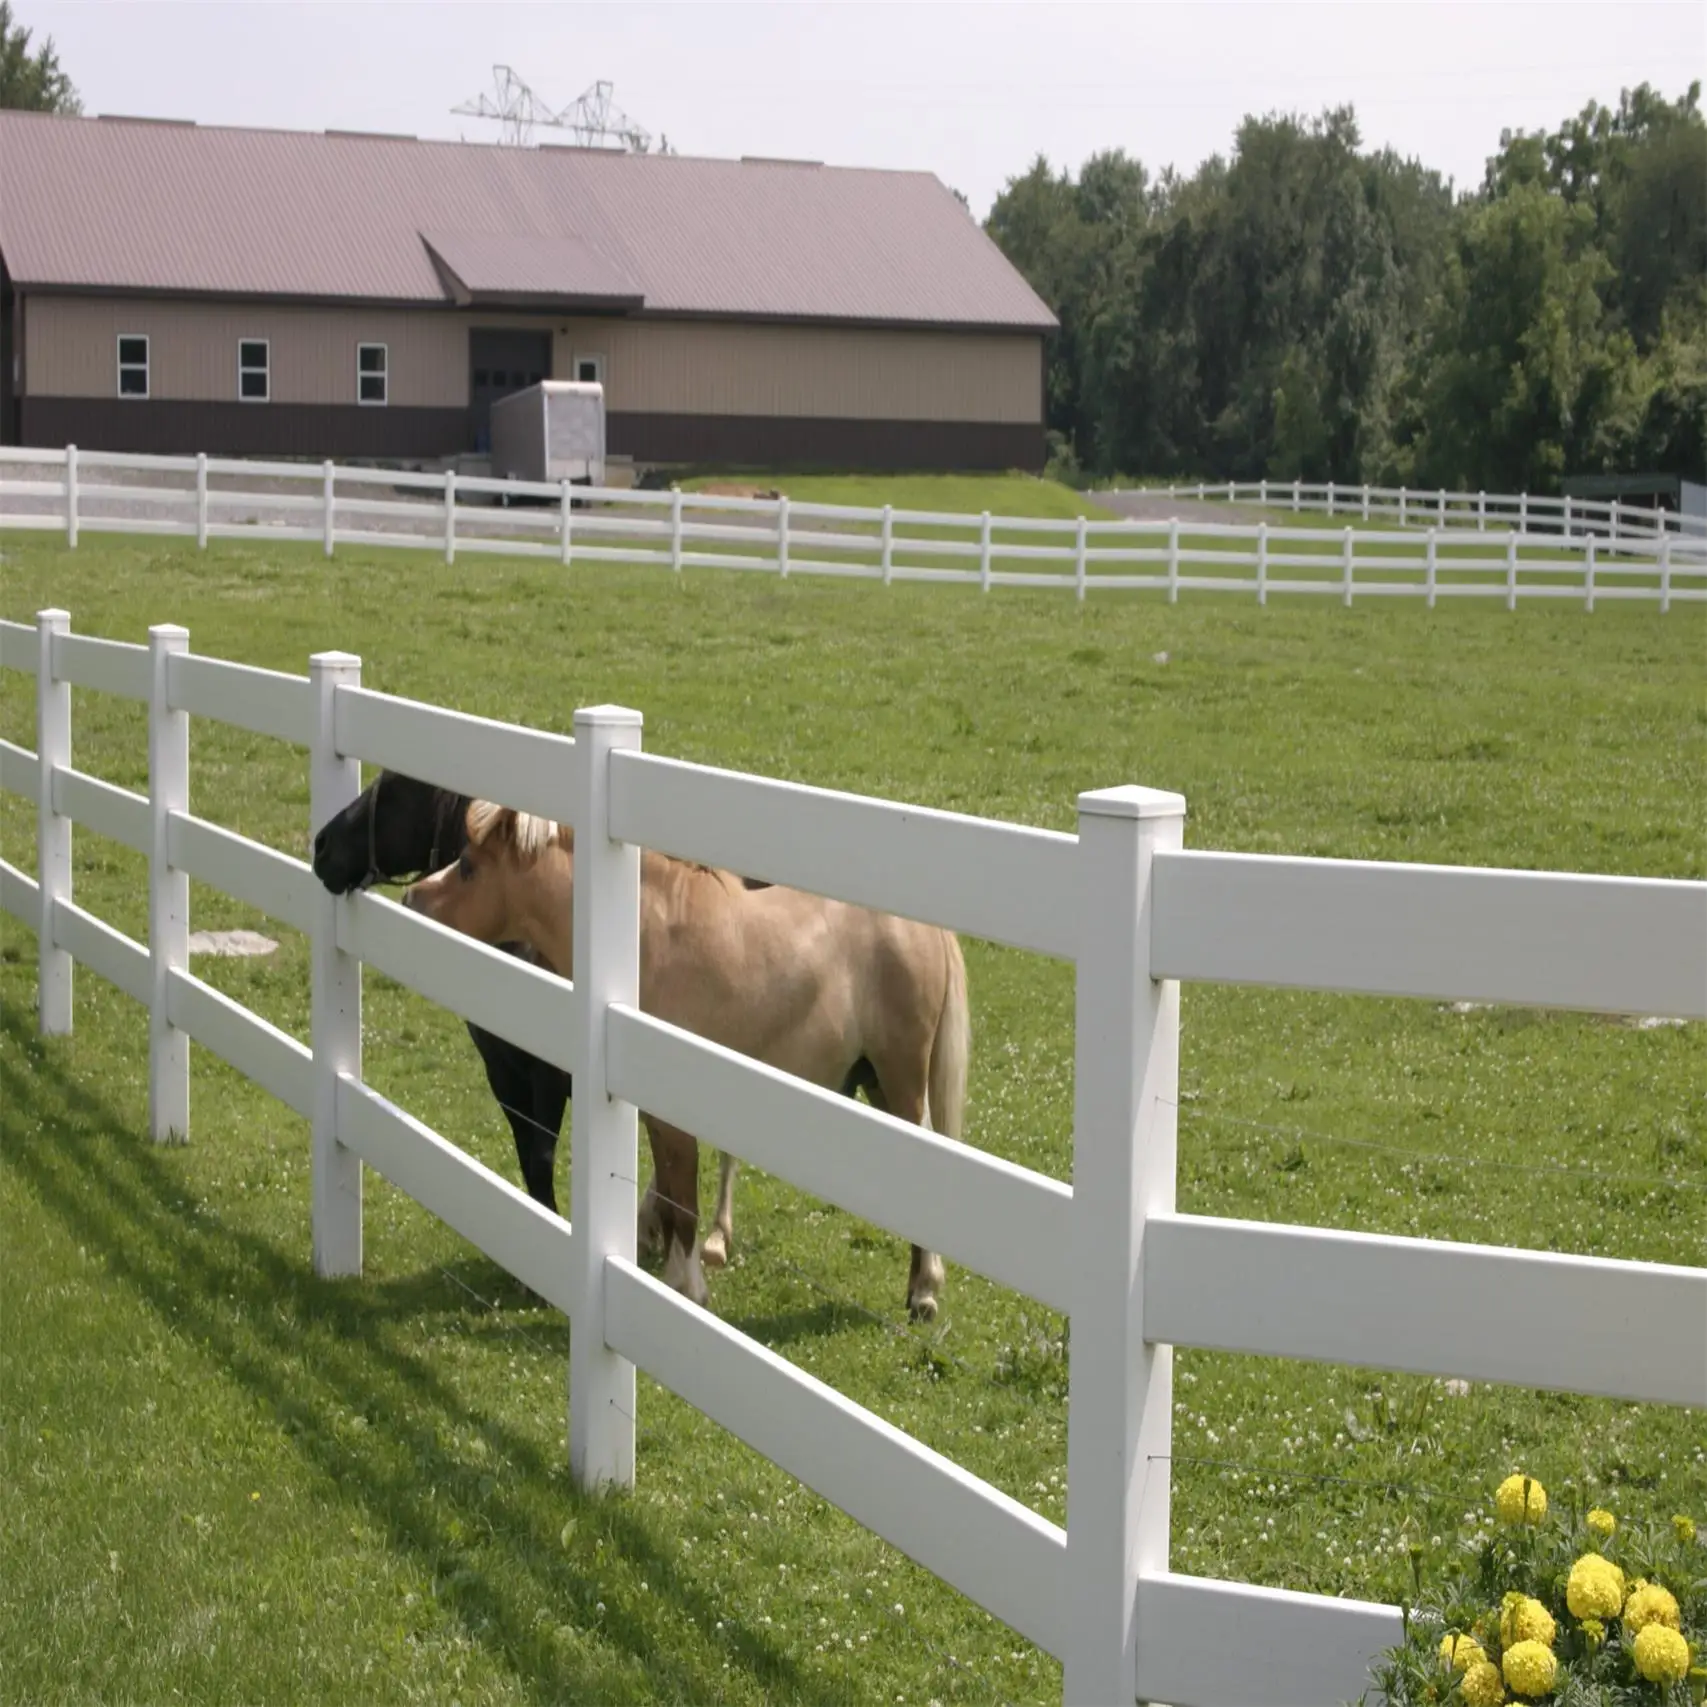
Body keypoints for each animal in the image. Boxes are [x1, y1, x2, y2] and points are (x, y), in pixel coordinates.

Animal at [310, 770, 749, 1266]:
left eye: (398, 783)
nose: (322, 846)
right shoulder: (502, 1070)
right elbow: (528, 1157)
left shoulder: (549, 1076)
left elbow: (541, 1156)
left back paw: (714, 1238)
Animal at [401, 800, 969, 1321]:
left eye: (468, 865)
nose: (410, 898)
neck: (645, 942)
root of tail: (924, 928)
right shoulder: (654, 1115)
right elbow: (673, 1202)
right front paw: (676, 1277)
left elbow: (686, 1206)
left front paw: (688, 1290)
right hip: (877, 1081)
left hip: (900, 1078)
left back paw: (923, 1293)